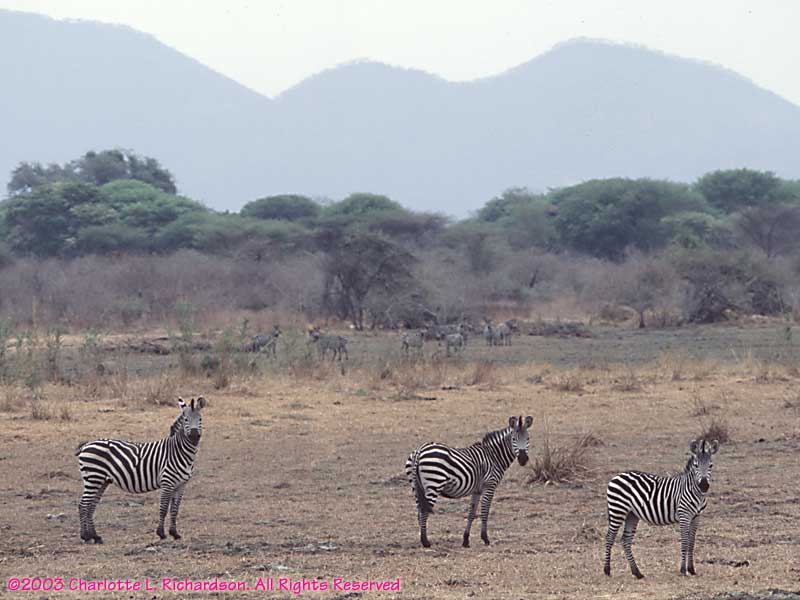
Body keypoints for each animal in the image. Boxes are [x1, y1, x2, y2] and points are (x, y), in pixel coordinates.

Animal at [75, 397, 205, 544]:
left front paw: (175, 533)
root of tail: (87, 444)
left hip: (101, 481)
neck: (179, 452)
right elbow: (164, 508)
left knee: (91, 506)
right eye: (186, 419)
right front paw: (161, 533)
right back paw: (85, 536)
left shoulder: (181, 485)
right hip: (93, 478)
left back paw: (95, 536)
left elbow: (175, 509)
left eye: (200, 419)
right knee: (83, 505)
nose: (194, 436)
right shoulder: (167, 483)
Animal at [405, 415, 534, 548]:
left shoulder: (476, 490)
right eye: (513, 439)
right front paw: (485, 538)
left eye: (527, 438)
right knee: (424, 511)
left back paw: (422, 538)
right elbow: (485, 512)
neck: (494, 456)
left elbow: (471, 513)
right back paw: (425, 542)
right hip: (434, 483)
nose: (523, 459)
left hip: (416, 487)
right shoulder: (489, 485)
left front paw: (466, 540)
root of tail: (420, 450)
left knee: (419, 511)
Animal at [604, 438, 720, 578]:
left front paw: (691, 569)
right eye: (696, 465)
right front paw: (683, 570)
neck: (695, 492)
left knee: (625, 540)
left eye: (711, 466)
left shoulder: (696, 517)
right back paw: (607, 570)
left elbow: (692, 542)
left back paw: (637, 572)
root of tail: (617, 476)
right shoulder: (684, 515)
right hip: (617, 510)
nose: (704, 485)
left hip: (632, 514)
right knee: (610, 537)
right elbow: (685, 542)